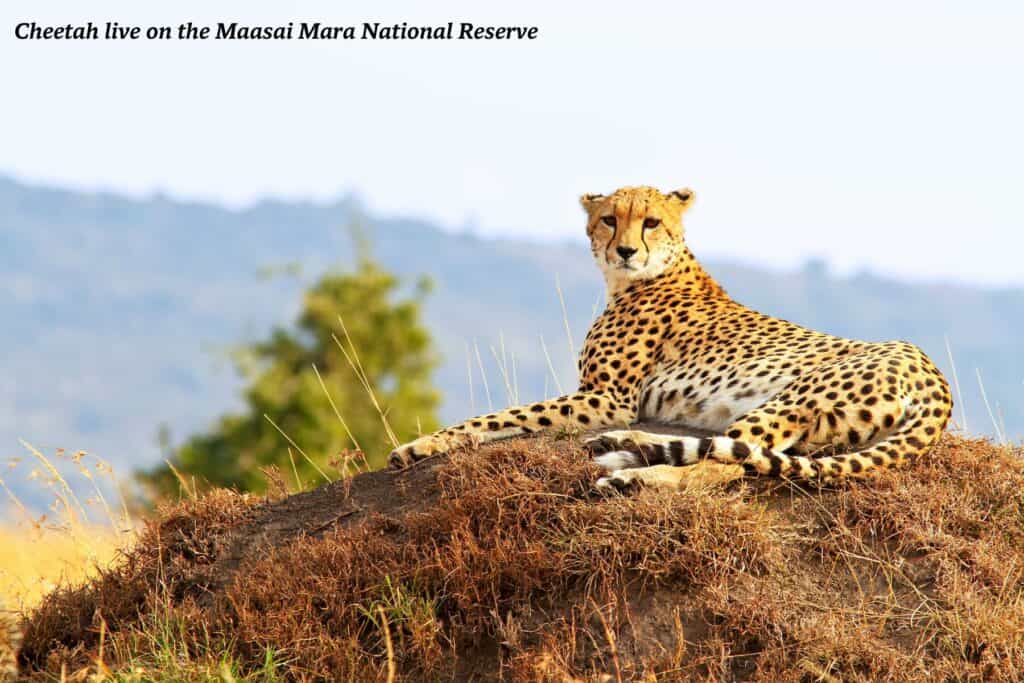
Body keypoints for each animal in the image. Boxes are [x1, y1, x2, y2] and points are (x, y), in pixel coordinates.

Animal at [387, 184, 954, 489]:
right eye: (609, 219)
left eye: (651, 222)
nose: (625, 251)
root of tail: (932, 372)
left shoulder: (608, 398)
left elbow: (501, 415)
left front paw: (418, 445)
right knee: (734, 456)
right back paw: (627, 454)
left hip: (791, 398)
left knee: (728, 464)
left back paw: (631, 466)